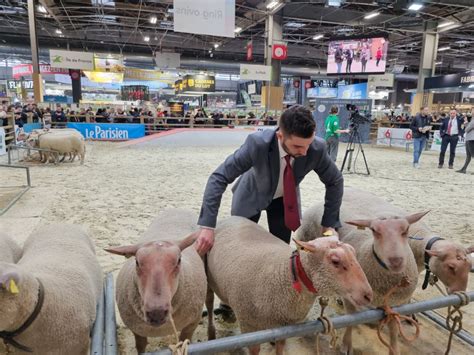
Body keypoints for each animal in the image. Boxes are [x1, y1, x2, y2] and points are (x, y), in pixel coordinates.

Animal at [105, 210, 207, 354]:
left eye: (179, 260)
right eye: (137, 262)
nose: (156, 313)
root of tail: (178, 209)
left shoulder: (192, 324)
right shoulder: (137, 331)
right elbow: (140, 346)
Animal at [207, 217, 374, 355]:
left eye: (353, 252)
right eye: (335, 261)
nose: (368, 295)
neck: (284, 275)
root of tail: (231, 218)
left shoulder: (284, 328)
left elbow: (280, 347)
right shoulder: (249, 328)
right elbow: (255, 350)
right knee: (209, 306)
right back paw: (211, 334)